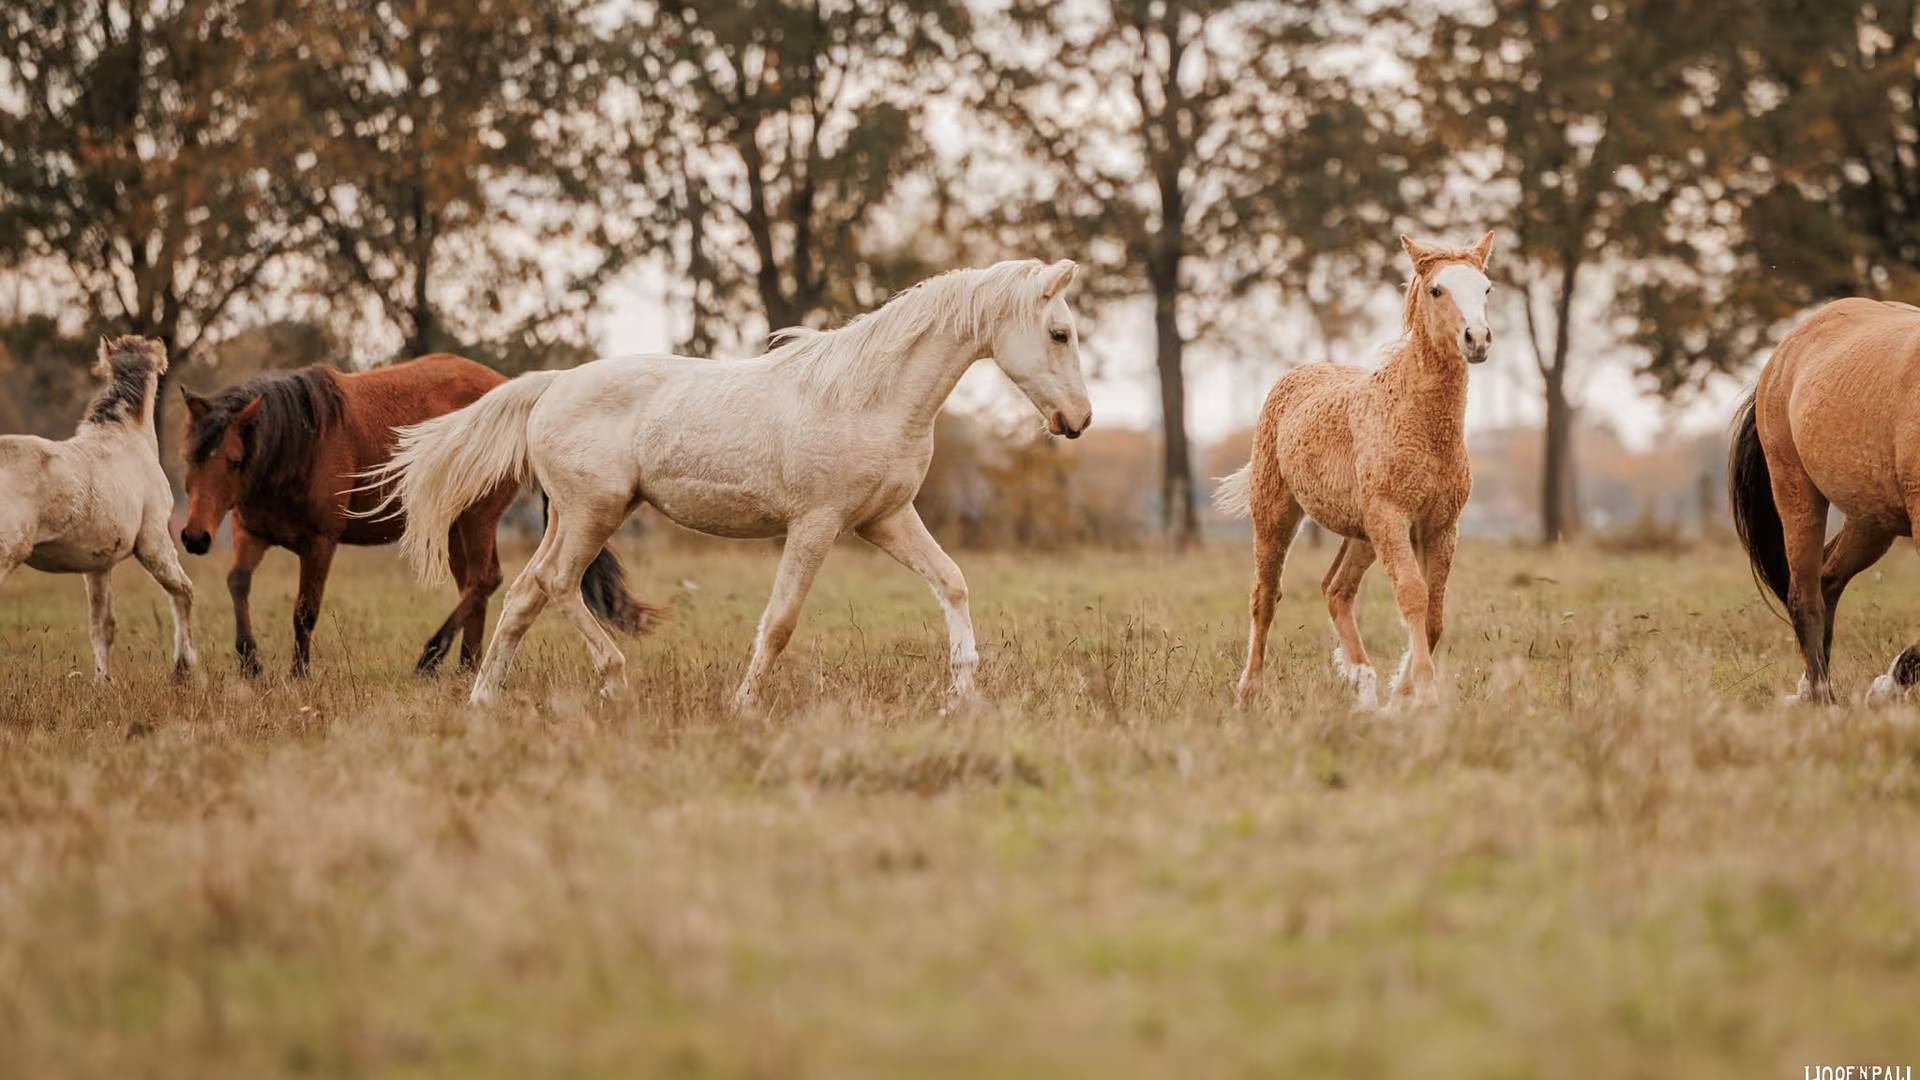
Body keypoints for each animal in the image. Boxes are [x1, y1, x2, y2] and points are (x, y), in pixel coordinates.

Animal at [0, 336, 198, 682]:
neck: (127, 437)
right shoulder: (154, 542)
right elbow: (183, 593)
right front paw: (183, 670)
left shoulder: (97, 565)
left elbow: (101, 627)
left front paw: (102, 682)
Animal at [178, 353, 654, 678]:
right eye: (189, 458)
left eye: (233, 461)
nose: (195, 537)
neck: (300, 442)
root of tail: (524, 397)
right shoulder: (250, 532)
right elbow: (237, 583)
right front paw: (250, 661)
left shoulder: (319, 543)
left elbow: (304, 610)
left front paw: (299, 673)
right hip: (455, 527)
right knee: (475, 586)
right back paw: (466, 664)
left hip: (476, 518)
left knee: (484, 581)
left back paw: (433, 656)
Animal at [364, 259, 1091, 709]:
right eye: (1059, 332)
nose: (1078, 420)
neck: (871, 394)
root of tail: (550, 387)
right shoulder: (817, 525)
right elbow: (781, 622)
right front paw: (744, 706)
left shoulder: (885, 519)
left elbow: (953, 583)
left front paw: (962, 693)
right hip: (592, 512)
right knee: (551, 585)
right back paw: (613, 683)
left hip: (577, 515)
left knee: (527, 593)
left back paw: (486, 700)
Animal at [1214, 232, 1495, 709]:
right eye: (1437, 290)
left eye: (1487, 289)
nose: (1476, 338)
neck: (1417, 420)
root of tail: (1293, 376)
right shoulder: (1392, 516)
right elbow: (1413, 597)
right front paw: (1424, 696)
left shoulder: (1441, 527)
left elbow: (1434, 615)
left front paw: (1400, 698)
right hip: (1277, 514)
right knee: (1265, 596)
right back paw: (1249, 693)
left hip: (1363, 534)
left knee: (1336, 590)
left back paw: (1365, 688)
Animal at [1728, 297, 1920, 705]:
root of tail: (1781, 355)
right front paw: (1888, 683)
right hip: (1798, 496)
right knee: (1804, 596)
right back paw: (1820, 697)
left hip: (1870, 520)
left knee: (1828, 580)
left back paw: (1811, 687)